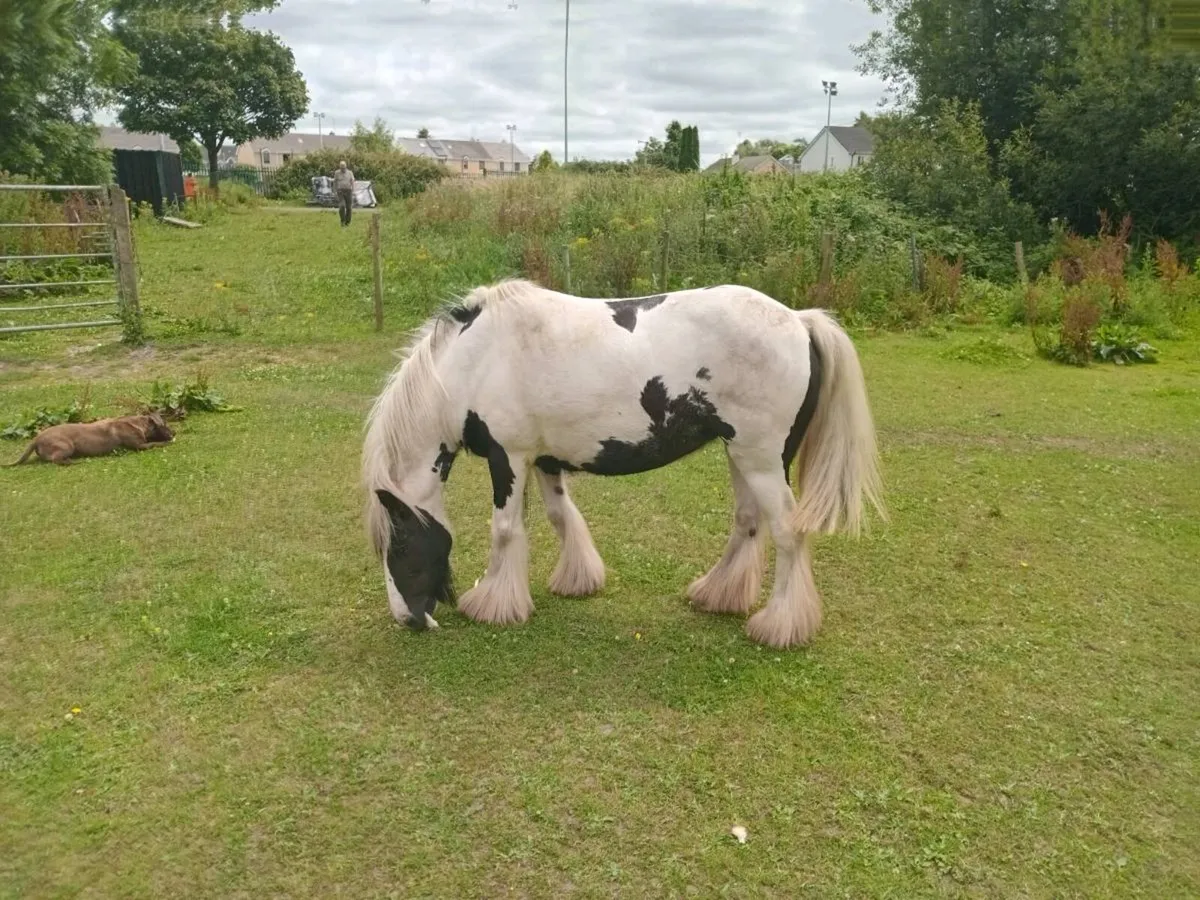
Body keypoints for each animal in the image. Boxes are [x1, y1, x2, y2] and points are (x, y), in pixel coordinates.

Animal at [361, 278, 884, 649]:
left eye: (399, 545)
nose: (407, 619)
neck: (478, 359)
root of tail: (799, 320)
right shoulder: (545, 459)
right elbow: (562, 516)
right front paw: (578, 579)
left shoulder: (508, 457)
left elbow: (506, 530)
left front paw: (492, 604)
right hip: (742, 455)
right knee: (748, 521)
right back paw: (718, 595)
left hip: (761, 460)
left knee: (788, 532)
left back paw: (780, 626)